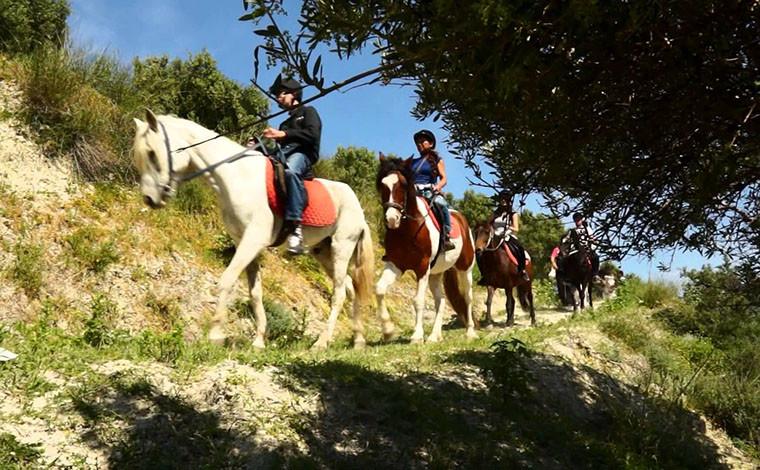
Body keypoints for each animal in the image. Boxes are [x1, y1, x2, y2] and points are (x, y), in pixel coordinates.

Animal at [131, 110, 375, 349]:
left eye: (152, 153)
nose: (150, 199)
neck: (237, 176)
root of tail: (359, 209)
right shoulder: (245, 242)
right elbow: (255, 293)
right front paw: (258, 341)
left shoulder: (253, 240)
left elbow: (227, 280)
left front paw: (216, 335)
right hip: (323, 253)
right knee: (350, 288)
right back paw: (358, 340)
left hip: (342, 248)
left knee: (339, 294)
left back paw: (321, 343)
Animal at [375, 156, 477, 343]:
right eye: (382, 185)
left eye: (403, 184)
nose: (392, 219)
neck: (407, 229)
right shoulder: (395, 265)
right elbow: (379, 289)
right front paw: (388, 331)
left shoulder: (421, 267)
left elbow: (418, 301)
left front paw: (416, 335)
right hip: (435, 274)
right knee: (441, 300)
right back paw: (435, 336)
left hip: (465, 269)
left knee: (468, 297)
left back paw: (470, 332)